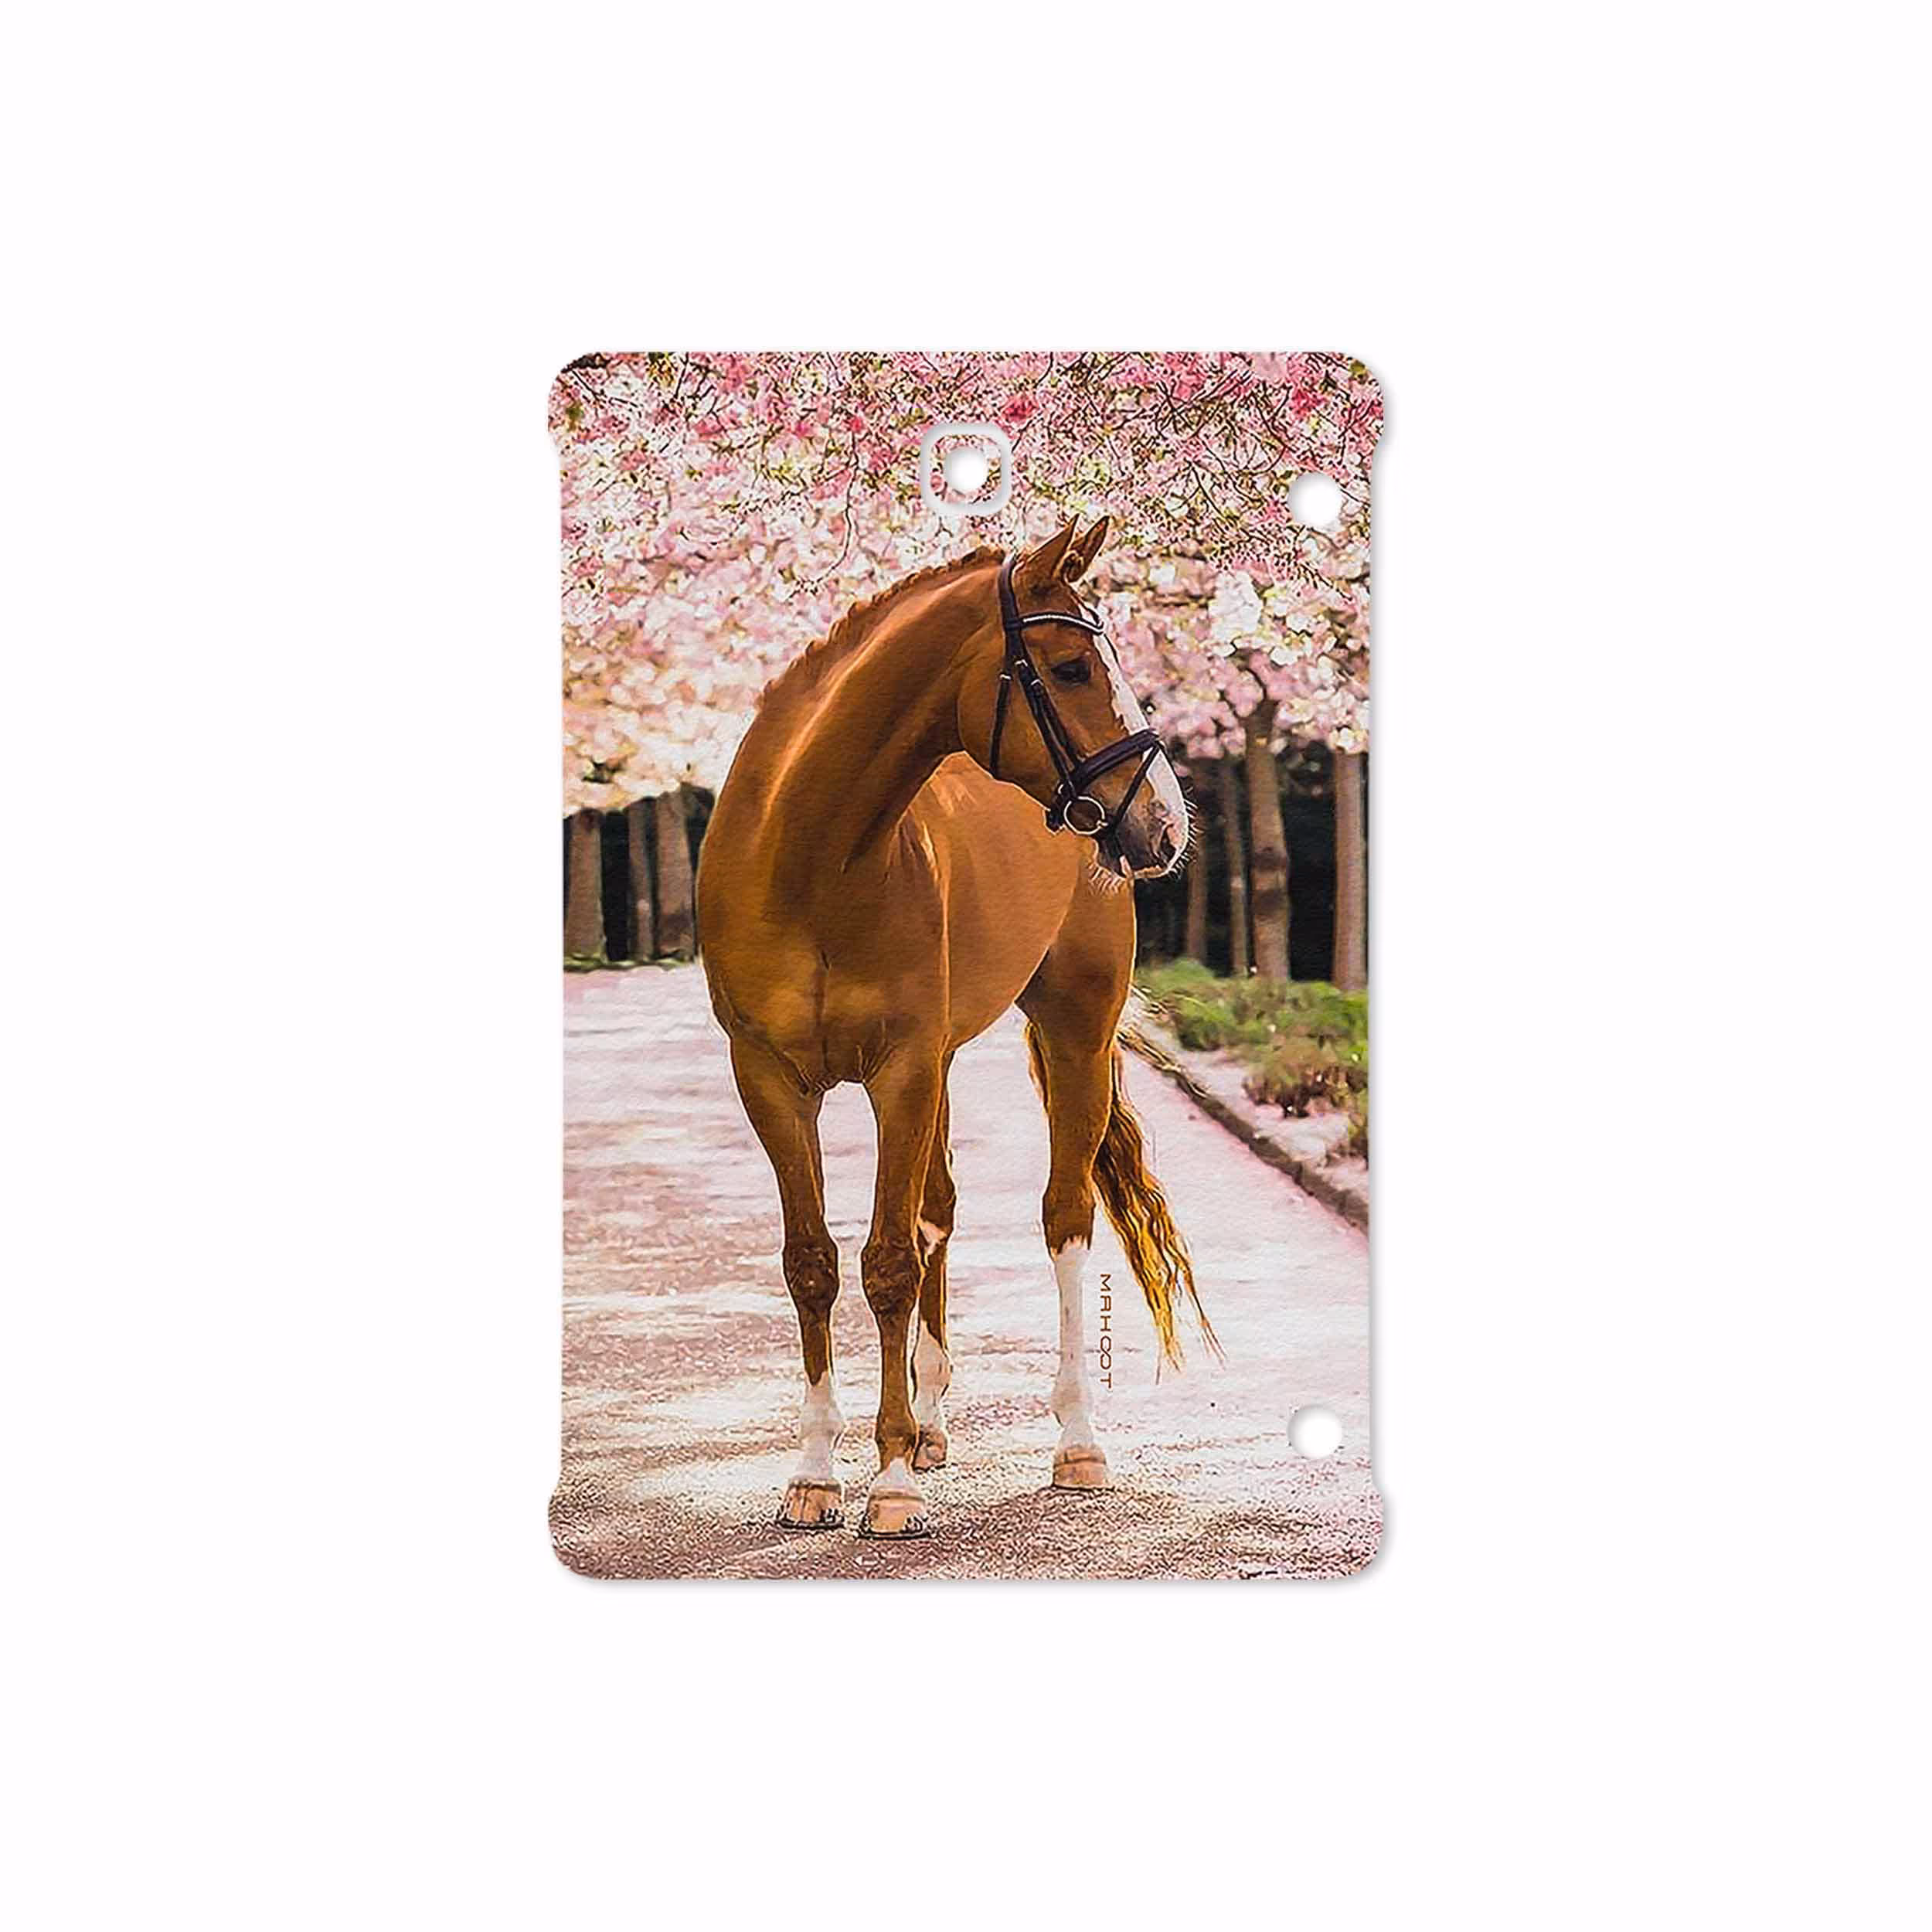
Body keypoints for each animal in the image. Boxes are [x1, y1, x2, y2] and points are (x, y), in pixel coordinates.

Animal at [697, 517, 1215, 1537]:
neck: (809, 857)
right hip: (938, 1064)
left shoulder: (899, 1070)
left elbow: (889, 1261)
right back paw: (932, 1424)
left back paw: (1073, 1441)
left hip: (1072, 1032)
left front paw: (890, 1480)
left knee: (1063, 1218)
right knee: (937, 1208)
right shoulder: (770, 1079)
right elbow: (813, 1262)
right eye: (1069, 667)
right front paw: (816, 1473)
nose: (1165, 825)